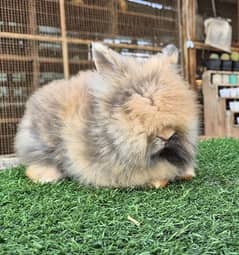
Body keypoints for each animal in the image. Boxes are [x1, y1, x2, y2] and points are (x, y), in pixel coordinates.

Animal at [14, 42, 199, 188]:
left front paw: (188, 174)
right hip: (43, 144)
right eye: (129, 108)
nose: (167, 135)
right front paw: (160, 181)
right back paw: (48, 178)